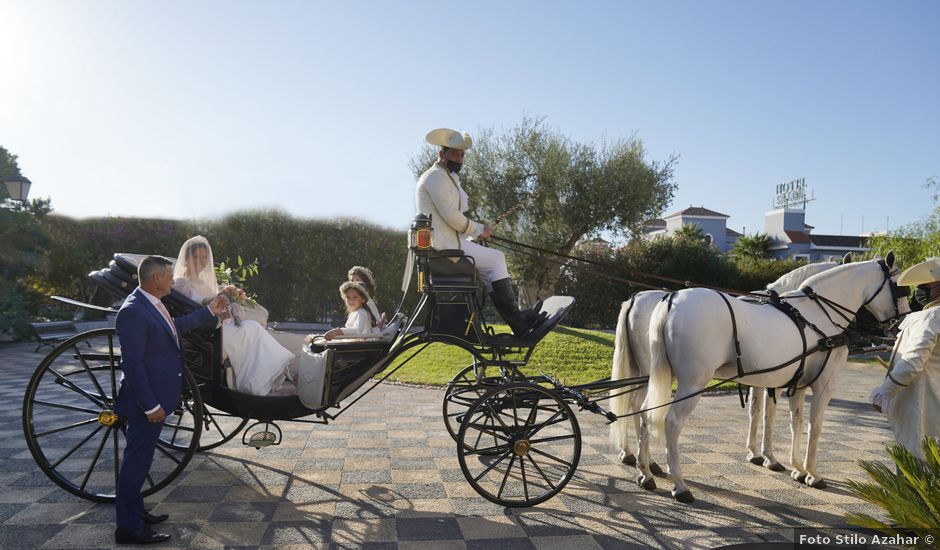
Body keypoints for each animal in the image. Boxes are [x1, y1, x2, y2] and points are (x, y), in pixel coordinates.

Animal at [612, 264, 840, 484]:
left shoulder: (770, 381)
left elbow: (763, 413)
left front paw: (762, 455)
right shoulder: (788, 382)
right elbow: (778, 418)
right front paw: (779, 462)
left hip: (646, 372)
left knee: (639, 407)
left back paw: (640, 463)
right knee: (655, 414)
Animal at [636, 254, 908, 504]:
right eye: (898, 285)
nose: (901, 322)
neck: (818, 315)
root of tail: (672, 300)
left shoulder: (796, 386)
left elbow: (794, 423)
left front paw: (797, 468)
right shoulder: (823, 386)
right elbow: (814, 427)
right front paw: (812, 474)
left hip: (664, 376)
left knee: (645, 414)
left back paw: (645, 472)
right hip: (693, 383)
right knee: (671, 422)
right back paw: (680, 484)